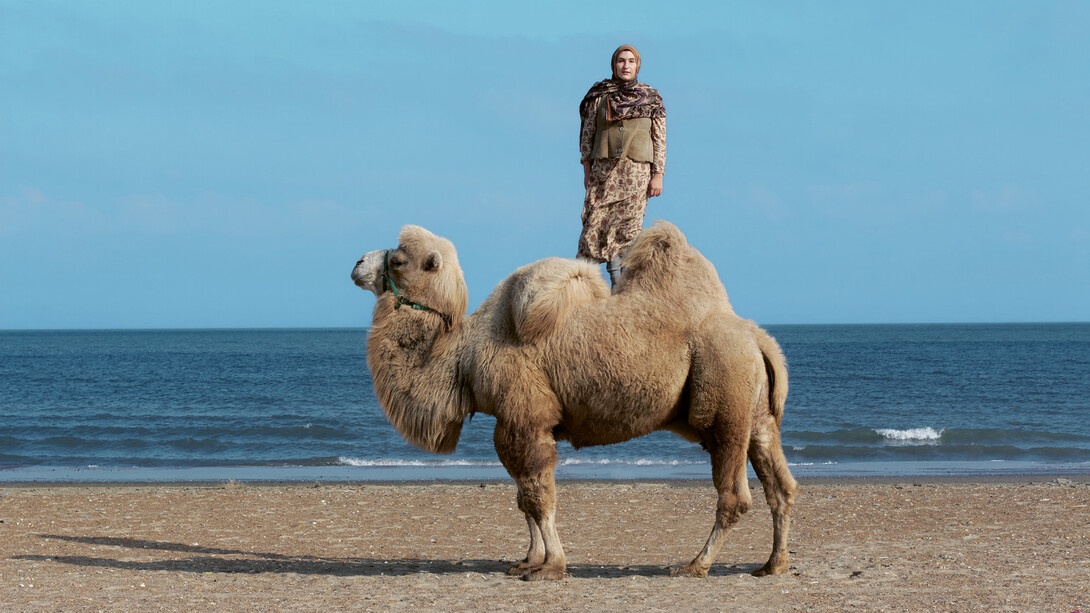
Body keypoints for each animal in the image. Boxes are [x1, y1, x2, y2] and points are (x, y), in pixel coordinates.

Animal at [350, 221, 797, 581]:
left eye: (399, 260)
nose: (357, 262)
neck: (463, 354)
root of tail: (756, 336)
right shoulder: (516, 422)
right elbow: (523, 498)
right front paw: (528, 560)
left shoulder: (524, 416)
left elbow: (537, 494)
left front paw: (551, 567)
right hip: (757, 413)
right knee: (781, 486)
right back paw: (773, 564)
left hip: (726, 396)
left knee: (734, 495)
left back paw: (695, 565)